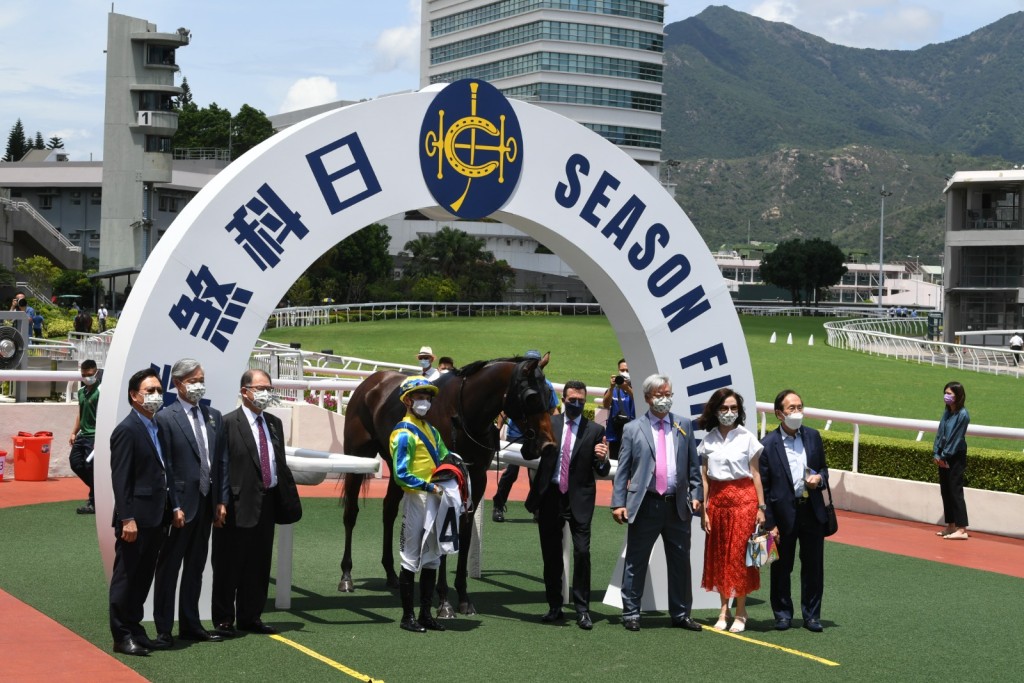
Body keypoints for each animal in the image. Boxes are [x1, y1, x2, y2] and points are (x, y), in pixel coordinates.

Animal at [339, 356, 557, 618]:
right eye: (531, 396)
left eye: (549, 393)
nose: (547, 445)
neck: (465, 415)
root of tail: (371, 383)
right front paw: (444, 601)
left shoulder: (477, 478)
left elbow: (464, 532)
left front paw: (463, 597)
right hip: (357, 455)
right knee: (351, 513)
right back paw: (346, 575)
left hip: (397, 463)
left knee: (388, 510)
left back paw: (391, 574)